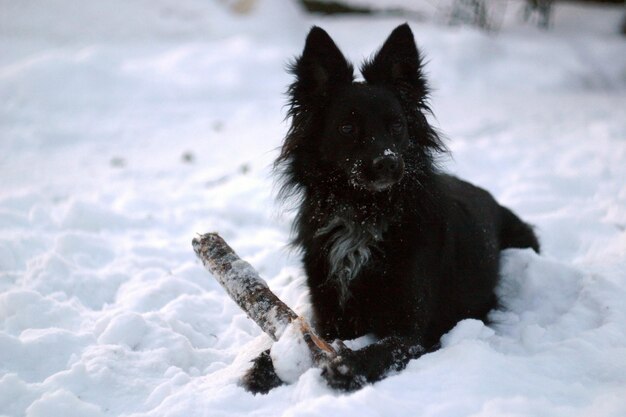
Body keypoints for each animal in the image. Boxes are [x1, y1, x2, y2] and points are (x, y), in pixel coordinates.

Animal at [239, 23, 536, 394]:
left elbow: (379, 350)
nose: (389, 163)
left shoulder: (412, 331)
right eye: (347, 128)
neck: (363, 213)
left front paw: (346, 366)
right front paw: (267, 366)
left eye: (397, 125)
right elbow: (306, 337)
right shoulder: (331, 316)